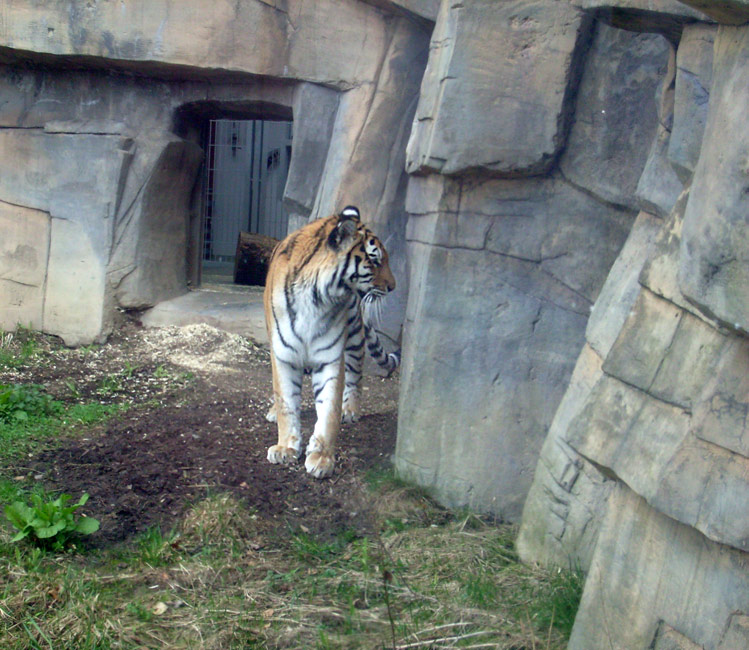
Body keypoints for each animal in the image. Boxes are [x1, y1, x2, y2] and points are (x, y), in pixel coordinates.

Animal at [264, 205, 400, 478]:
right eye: (375, 260)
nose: (392, 286)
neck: (315, 297)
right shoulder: (283, 355)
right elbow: (286, 402)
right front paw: (285, 447)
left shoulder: (329, 358)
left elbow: (329, 410)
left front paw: (321, 458)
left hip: (355, 337)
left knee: (356, 377)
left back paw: (351, 410)